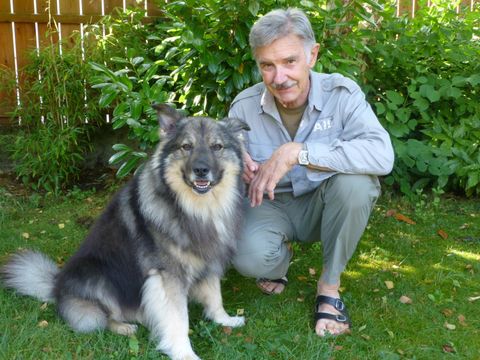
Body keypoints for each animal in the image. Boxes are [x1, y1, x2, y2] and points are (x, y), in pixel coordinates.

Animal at [2, 104, 251, 360]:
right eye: (186, 146)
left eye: (217, 146)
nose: (201, 170)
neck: (195, 208)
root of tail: (56, 288)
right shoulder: (168, 277)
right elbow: (178, 319)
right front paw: (183, 352)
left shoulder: (209, 259)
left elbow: (214, 295)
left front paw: (225, 320)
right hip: (99, 277)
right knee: (101, 318)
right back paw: (123, 326)